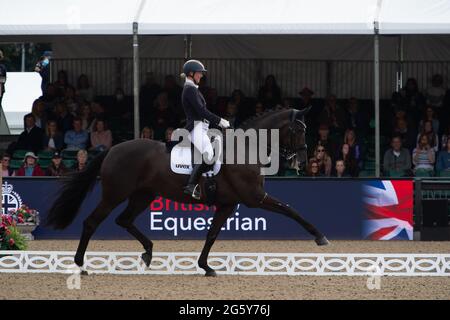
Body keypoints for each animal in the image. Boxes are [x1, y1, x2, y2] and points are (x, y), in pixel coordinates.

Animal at [47, 107, 328, 276]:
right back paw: (80, 265)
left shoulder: (228, 204)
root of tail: (113, 149)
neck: (245, 148)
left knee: (123, 220)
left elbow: (212, 234)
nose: (303, 161)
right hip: (114, 194)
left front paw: (206, 266)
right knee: (91, 222)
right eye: (299, 129)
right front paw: (319, 236)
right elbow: (290, 210)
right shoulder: (255, 198)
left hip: (143, 195)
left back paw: (148, 252)